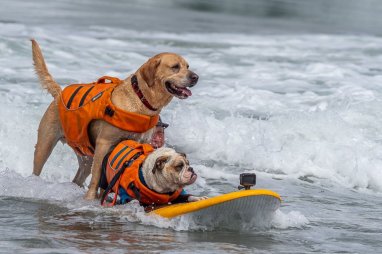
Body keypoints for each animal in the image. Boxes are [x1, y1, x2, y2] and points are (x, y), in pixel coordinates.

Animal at [31, 39, 198, 199]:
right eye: (175, 67)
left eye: (187, 66)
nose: (196, 77)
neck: (140, 99)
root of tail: (59, 94)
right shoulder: (104, 144)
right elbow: (97, 177)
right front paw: (91, 198)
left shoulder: (140, 143)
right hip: (45, 145)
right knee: (37, 169)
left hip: (87, 157)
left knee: (78, 177)